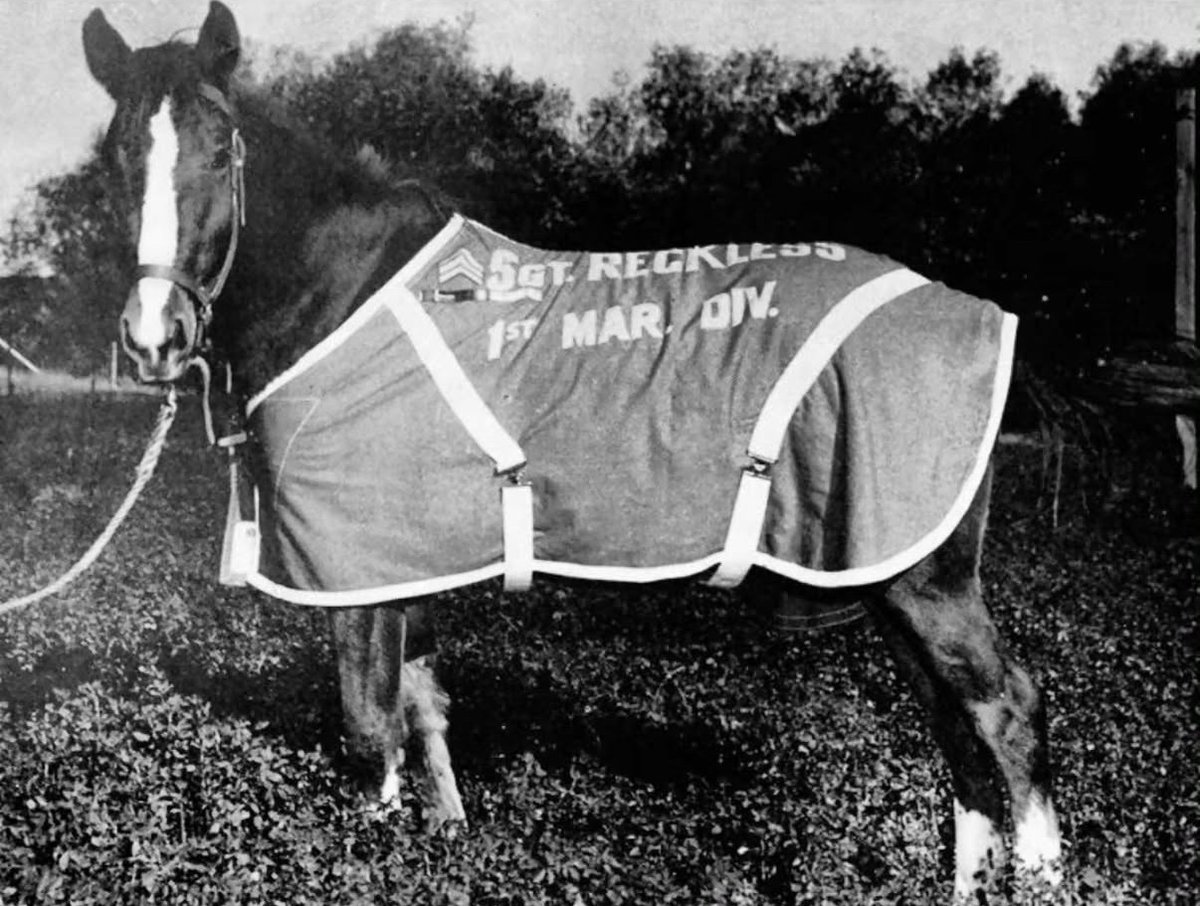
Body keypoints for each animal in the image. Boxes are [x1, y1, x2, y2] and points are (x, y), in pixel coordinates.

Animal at [81, 3, 1063, 899]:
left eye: (221, 150)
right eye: (118, 157)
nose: (154, 338)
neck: (343, 290)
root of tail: (980, 312)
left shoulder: (357, 578)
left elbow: (370, 732)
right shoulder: (402, 570)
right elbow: (425, 711)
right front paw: (450, 847)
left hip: (926, 581)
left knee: (1005, 711)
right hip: (887, 575)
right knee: (955, 727)